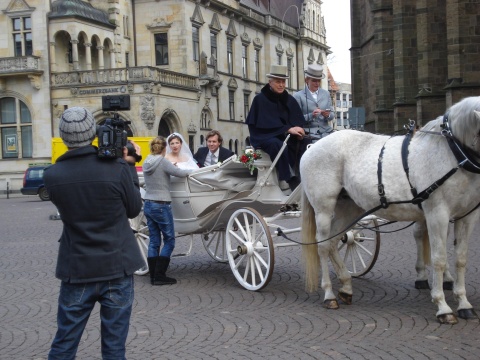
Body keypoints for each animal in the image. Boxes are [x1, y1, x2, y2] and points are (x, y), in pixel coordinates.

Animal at [300, 95, 480, 324]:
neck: (452, 152)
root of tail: (312, 147)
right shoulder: (437, 214)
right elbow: (439, 259)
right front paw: (443, 306)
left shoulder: (467, 216)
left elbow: (461, 258)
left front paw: (464, 303)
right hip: (324, 208)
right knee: (322, 246)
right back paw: (329, 294)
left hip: (349, 208)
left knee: (333, 242)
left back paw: (346, 286)